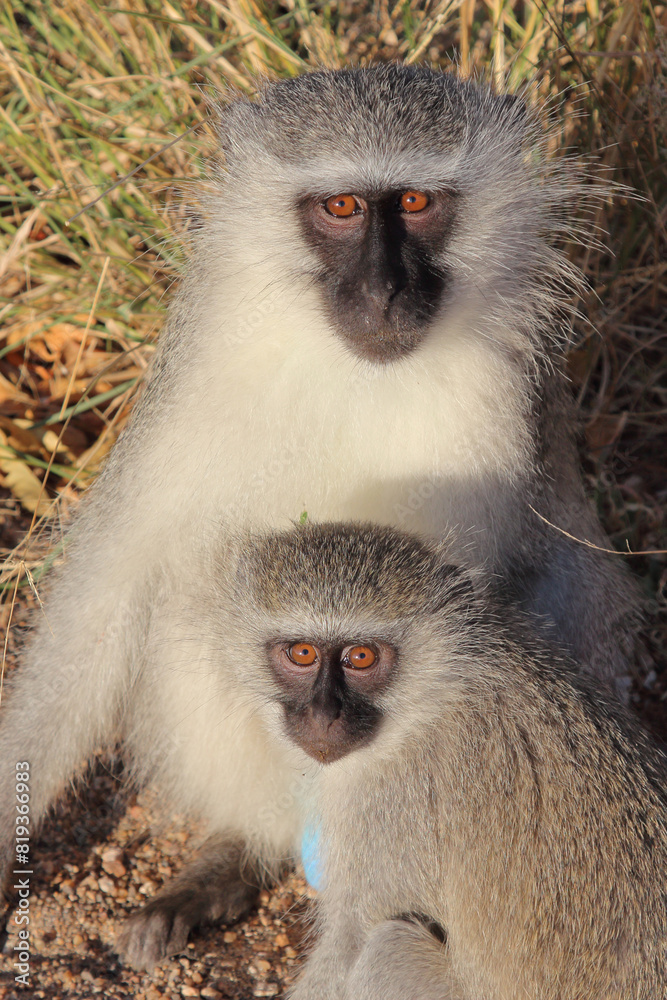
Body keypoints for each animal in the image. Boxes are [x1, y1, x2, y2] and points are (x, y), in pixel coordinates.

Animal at [0, 65, 640, 970]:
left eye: (413, 202)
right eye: (339, 207)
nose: (383, 290)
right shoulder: (190, 386)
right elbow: (109, 589)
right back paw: (233, 854)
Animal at [227, 521, 667, 1000]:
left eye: (361, 657)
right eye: (302, 653)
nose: (324, 714)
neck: (436, 690)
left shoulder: (394, 796)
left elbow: (349, 945)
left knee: (385, 947)